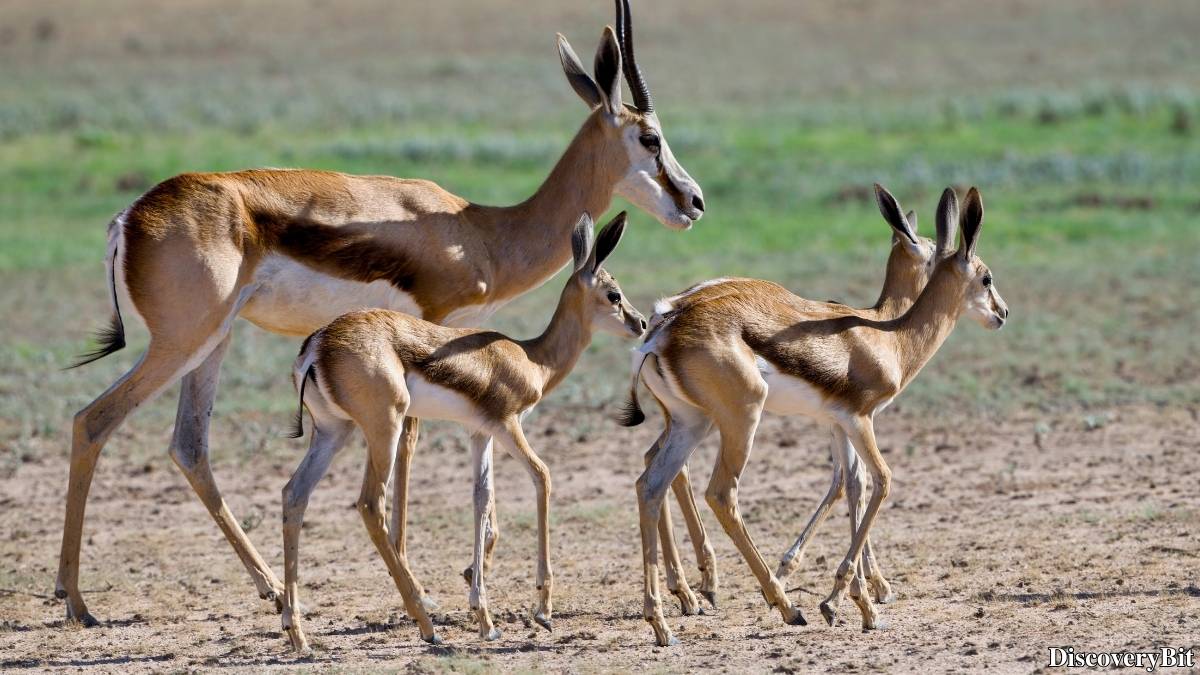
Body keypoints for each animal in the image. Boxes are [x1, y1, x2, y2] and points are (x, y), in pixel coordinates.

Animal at [281, 212, 644, 649]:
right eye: (614, 294)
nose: (641, 323)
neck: (532, 359)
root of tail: (318, 343)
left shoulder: (479, 433)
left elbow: (481, 499)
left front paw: (485, 617)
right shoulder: (507, 425)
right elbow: (542, 477)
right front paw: (541, 611)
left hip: (335, 432)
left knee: (294, 494)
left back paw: (297, 633)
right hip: (385, 427)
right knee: (370, 504)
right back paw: (426, 625)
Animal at [621, 187, 1008, 646]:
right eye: (986, 278)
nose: (1002, 313)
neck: (888, 336)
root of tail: (663, 328)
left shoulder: (839, 422)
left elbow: (852, 484)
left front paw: (859, 601)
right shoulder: (860, 419)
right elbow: (879, 481)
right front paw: (848, 599)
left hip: (691, 422)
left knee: (651, 482)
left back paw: (666, 618)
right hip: (740, 420)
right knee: (720, 493)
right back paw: (783, 605)